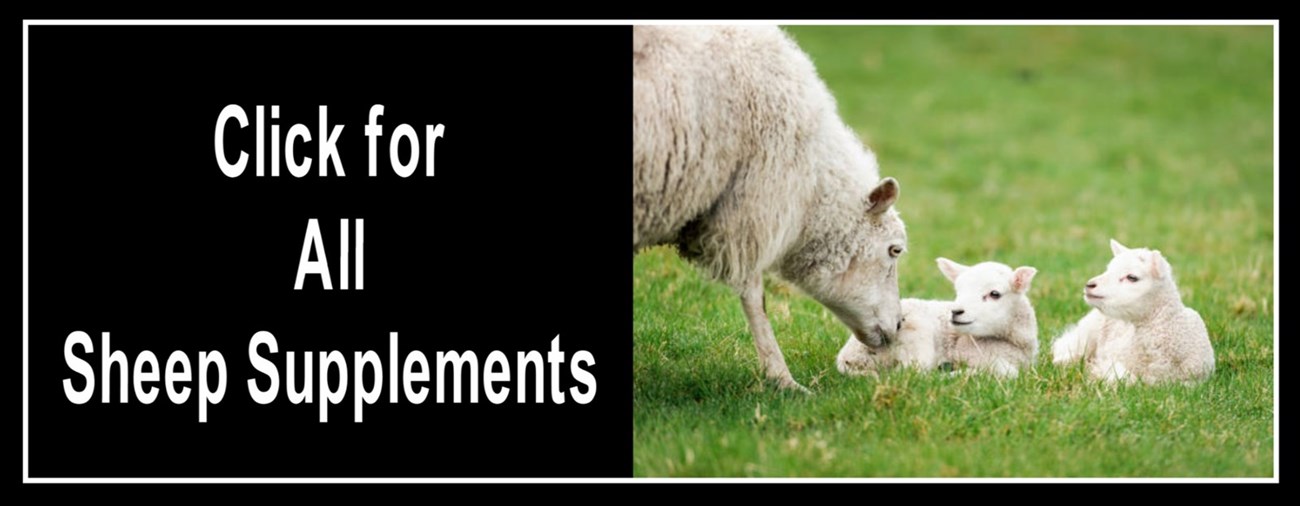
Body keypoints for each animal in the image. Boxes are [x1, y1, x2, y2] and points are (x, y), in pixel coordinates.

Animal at [633, 26, 907, 392]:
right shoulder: (750, 206)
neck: (810, 182)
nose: (900, 324)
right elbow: (754, 295)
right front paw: (783, 379)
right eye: (895, 250)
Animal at [838, 258, 1039, 378]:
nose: (956, 311)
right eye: (958, 291)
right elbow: (1008, 372)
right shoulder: (972, 353)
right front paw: (967, 371)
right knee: (910, 374)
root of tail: (846, 358)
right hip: (917, 337)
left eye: (995, 294)